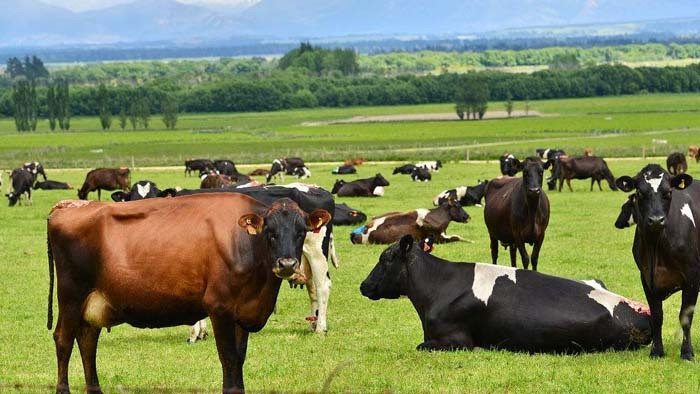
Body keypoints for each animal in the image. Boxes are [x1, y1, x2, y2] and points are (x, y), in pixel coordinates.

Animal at [47, 195, 332, 394]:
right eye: (270, 232)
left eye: (301, 231)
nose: (287, 264)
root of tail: (68, 206)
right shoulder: (220, 308)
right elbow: (228, 358)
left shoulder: (242, 311)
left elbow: (239, 358)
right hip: (71, 295)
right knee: (64, 340)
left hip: (93, 302)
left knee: (87, 342)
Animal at [175, 185, 340, 336]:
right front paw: (200, 332)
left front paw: (195, 333)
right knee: (312, 288)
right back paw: (313, 325)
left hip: (316, 252)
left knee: (322, 286)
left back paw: (320, 328)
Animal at [616, 163, 696, 360]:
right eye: (640, 192)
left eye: (668, 192)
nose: (656, 220)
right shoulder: (646, 278)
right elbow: (657, 316)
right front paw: (657, 351)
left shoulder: (692, 277)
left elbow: (685, 316)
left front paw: (687, 352)